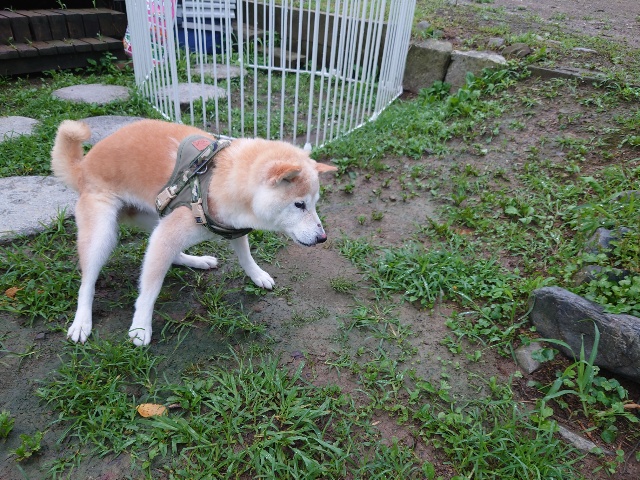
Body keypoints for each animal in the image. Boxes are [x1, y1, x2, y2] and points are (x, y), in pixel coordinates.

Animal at [51, 119, 336, 346]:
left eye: (314, 203)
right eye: (299, 205)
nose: (322, 238)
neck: (220, 179)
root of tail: (82, 166)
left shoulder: (232, 229)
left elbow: (246, 257)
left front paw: (257, 275)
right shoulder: (170, 232)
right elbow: (149, 289)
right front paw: (141, 326)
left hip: (155, 218)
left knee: (165, 254)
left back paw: (196, 260)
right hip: (103, 234)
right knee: (88, 282)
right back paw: (82, 321)